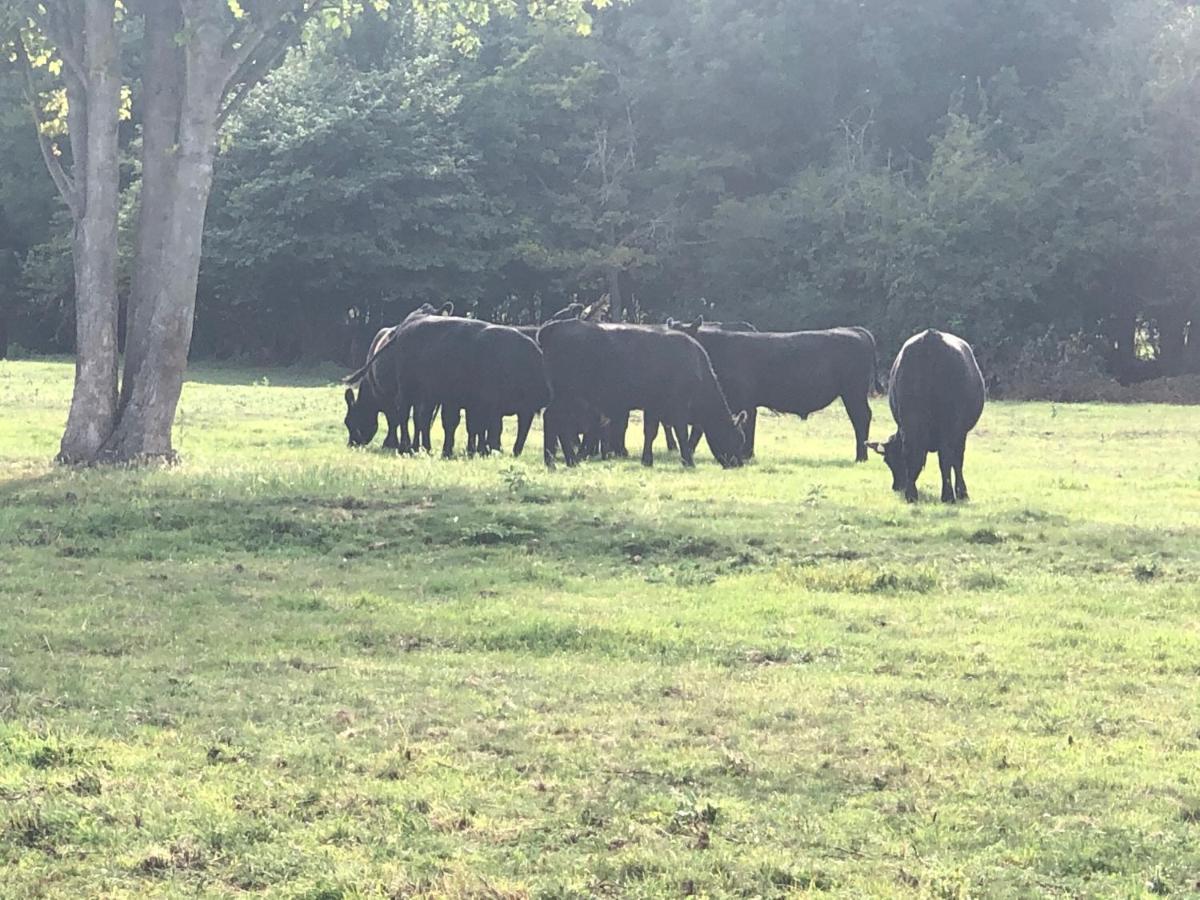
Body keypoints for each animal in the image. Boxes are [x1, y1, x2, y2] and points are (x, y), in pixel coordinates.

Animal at [540, 319, 744, 472]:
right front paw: (688, 461)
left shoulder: (653, 406)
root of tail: (555, 326)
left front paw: (647, 460)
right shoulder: (678, 407)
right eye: (736, 437)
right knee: (553, 418)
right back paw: (562, 461)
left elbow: (650, 432)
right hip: (568, 394)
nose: (738, 464)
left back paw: (561, 461)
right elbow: (681, 433)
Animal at [868, 328, 988, 504]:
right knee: (944, 456)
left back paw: (914, 494)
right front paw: (961, 492)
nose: (897, 487)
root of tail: (930, 338)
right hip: (948, 423)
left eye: (889, 461)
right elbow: (955, 460)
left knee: (915, 453)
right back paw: (945, 495)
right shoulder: (958, 432)